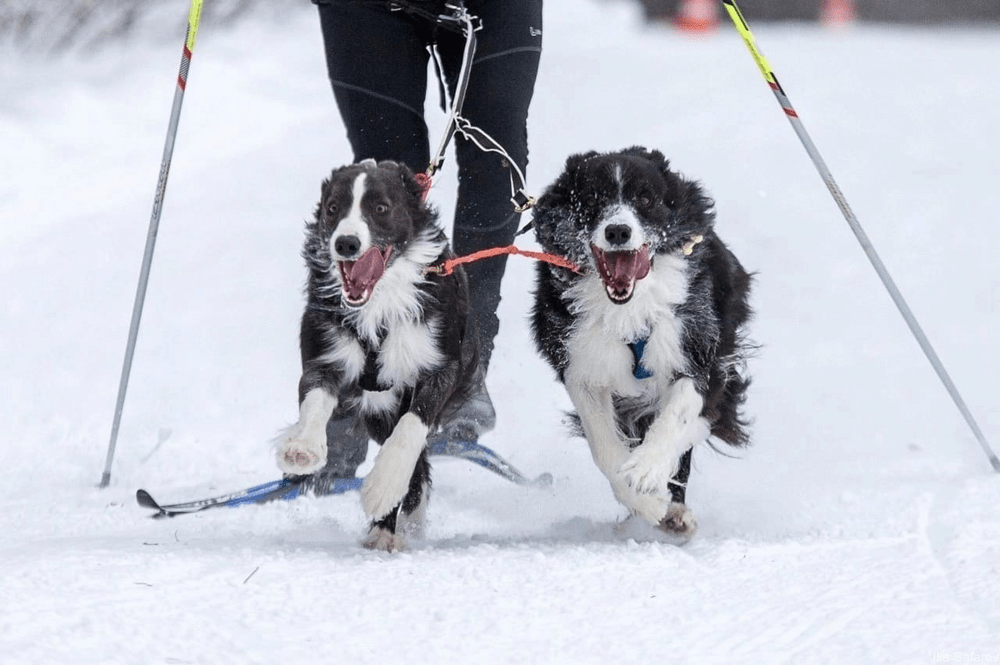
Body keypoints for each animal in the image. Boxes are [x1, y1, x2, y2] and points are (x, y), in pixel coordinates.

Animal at [274, 157, 476, 548]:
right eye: (333, 208)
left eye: (380, 208)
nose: (346, 243)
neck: (379, 305)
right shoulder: (326, 353)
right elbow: (315, 397)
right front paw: (302, 447)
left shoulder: (442, 363)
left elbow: (413, 424)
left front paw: (383, 486)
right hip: (378, 409)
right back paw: (386, 529)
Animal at [532, 147, 752, 540]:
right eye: (592, 199)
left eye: (646, 199)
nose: (618, 231)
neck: (627, 310)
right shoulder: (580, 362)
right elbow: (604, 447)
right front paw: (647, 503)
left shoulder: (697, 349)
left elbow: (679, 414)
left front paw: (646, 469)